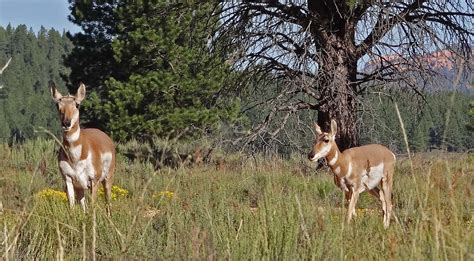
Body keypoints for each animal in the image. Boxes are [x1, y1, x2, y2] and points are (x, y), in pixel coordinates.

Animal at [50, 82, 115, 213]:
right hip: (80, 187)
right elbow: (71, 206)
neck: (76, 157)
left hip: (107, 178)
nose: (66, 123)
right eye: (57, 105)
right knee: (83, 204)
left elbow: (93, 206)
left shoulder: (93, 181)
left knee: (108, 201)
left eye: (77, 104)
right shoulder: (68, 180)